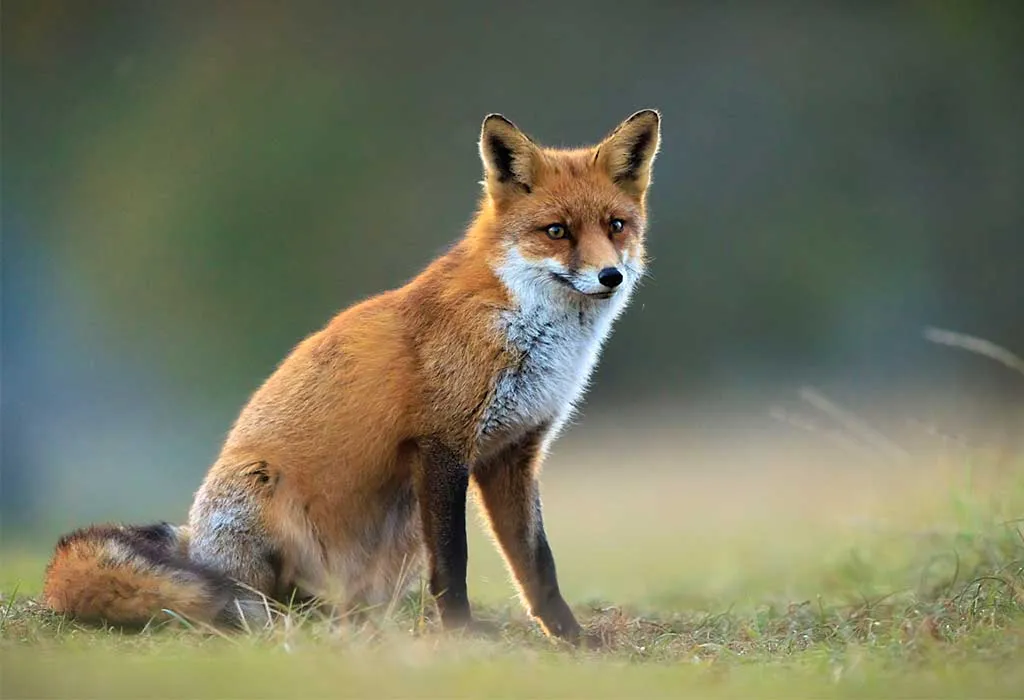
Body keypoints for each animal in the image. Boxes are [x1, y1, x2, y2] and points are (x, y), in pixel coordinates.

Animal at [42, 109, 661, 644]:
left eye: (616, 226)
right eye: (557, 231)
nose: (610, 275)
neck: (530, 332)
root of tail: (196, 546)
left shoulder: (513, 454)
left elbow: (537, 564)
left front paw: (573, 640)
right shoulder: (443, 445)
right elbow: (455, 563)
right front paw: (461, 635)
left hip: (400, 530)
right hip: (267, 491)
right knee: (259, 602)